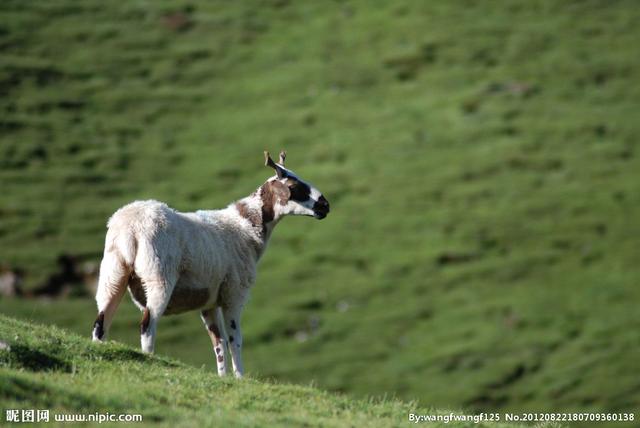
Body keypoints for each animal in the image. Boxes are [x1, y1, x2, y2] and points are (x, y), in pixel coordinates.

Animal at [91, 151, 330, 378]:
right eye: (294, 186)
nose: (325, 206)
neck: (247, 226)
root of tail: (130, 228)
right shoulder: (234, 294)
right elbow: (235, 340)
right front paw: (240, 377)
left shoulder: (209, 301)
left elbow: (219, 343)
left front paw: (223, 377)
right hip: (158, 274)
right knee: (147, 325)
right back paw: (150, 359)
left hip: (113, 272)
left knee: (101, 322)